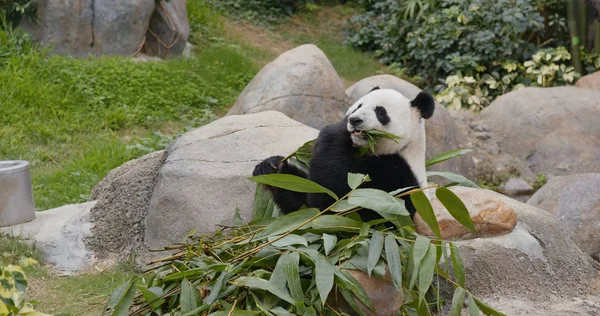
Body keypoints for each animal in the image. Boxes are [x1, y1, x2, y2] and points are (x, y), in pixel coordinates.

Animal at [251, 86, 434, 220]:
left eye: (380, 111)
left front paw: (334, 130)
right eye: (358, 106)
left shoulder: (396, 186)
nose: (354, 120)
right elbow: (303, 204)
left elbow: (331, 204)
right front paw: (272, 168)